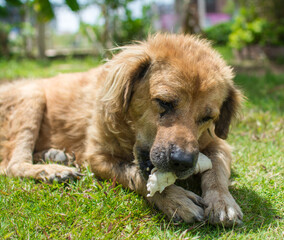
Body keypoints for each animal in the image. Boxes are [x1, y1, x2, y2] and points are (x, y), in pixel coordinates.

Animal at [0, 34, 244, 227]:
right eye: (164, 102)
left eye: (207, 117)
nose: (183, 162)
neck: (130, 131)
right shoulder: (98, 157)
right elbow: (136, 174)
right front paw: (174, 198)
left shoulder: (218, 144)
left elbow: (217, 171)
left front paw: (222, 201)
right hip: (33, 95)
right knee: (12, 164)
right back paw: (50, 170)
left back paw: (55, 156)